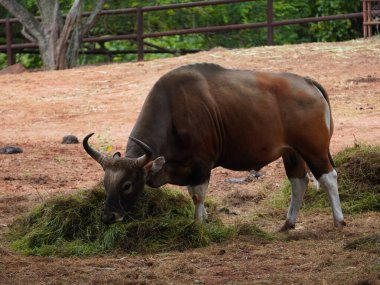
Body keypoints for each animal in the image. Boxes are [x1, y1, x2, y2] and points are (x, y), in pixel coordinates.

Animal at [84, 63, 348, 230]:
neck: (173, 110)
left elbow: (198, 195)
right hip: (291, 153)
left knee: (328, 177)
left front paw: (198, 225)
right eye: (106, 184)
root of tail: (306, 81)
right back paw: (288, 223)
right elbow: (193, 193)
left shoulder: (202, 163)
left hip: (314, 148)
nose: (108, 216)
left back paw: (339, 220)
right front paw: (205, 220)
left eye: (127, 185)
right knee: (299, 182)